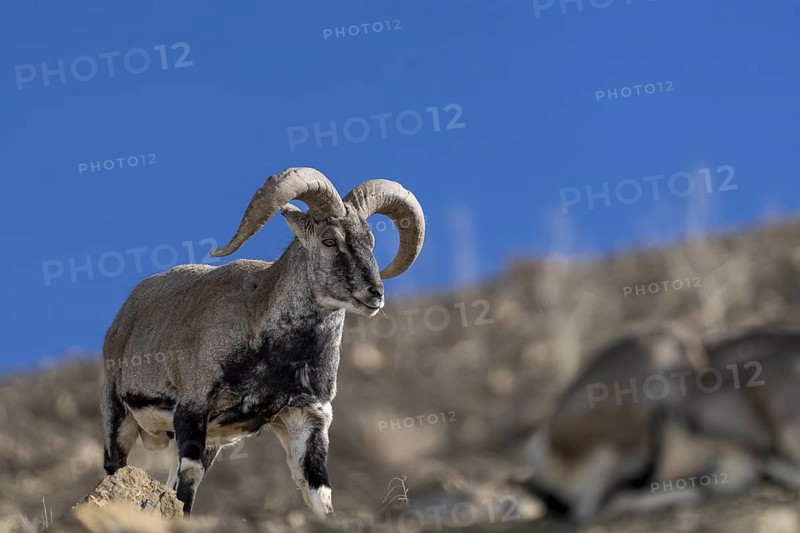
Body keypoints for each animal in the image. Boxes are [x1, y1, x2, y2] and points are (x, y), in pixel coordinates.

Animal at [100, 167, 425, 516]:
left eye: (370, 242)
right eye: (329, 240)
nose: (374, 293)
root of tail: (124, 315)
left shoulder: (307, 419)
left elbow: (319, 492)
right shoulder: (193, 406)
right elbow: (187, 481)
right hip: (117, 419)